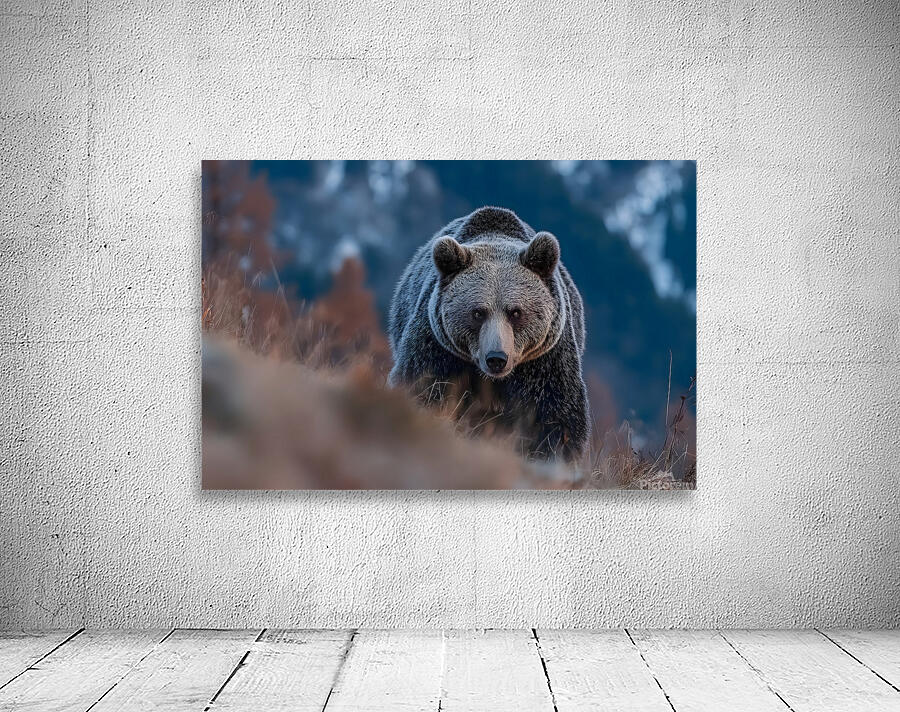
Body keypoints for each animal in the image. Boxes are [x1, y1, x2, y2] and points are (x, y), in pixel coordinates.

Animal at [388, 206, 590, 463]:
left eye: (515, 312)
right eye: (477, 312)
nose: (496, 358)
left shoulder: (545, 360)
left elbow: (554, 416)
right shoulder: (438, 347)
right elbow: (423, 387)